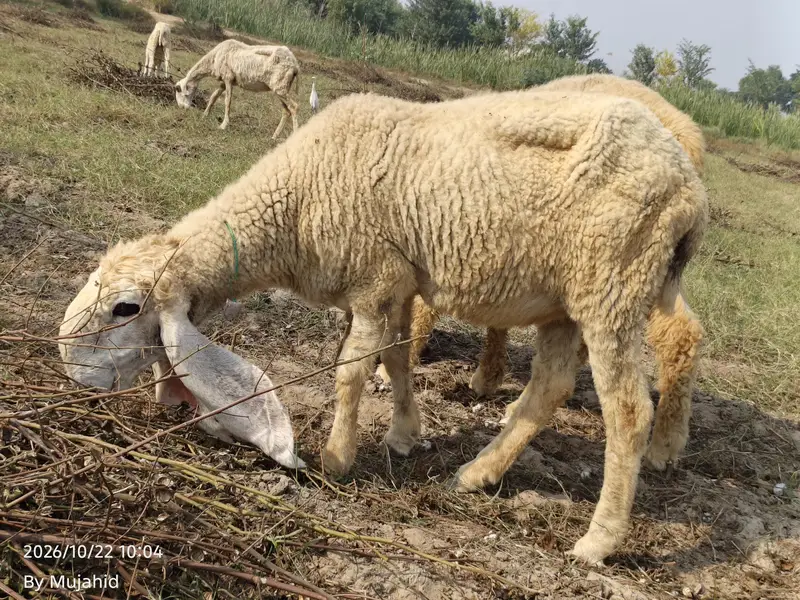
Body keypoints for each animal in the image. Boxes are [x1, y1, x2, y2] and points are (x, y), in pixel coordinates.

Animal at [385, 73, 707, 473]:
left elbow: (424, 308)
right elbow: (497, 319)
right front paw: (488, 375)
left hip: (621, 268)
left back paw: (659, 445)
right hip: (652, 271)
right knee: (683, 330)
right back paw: (668, 441)